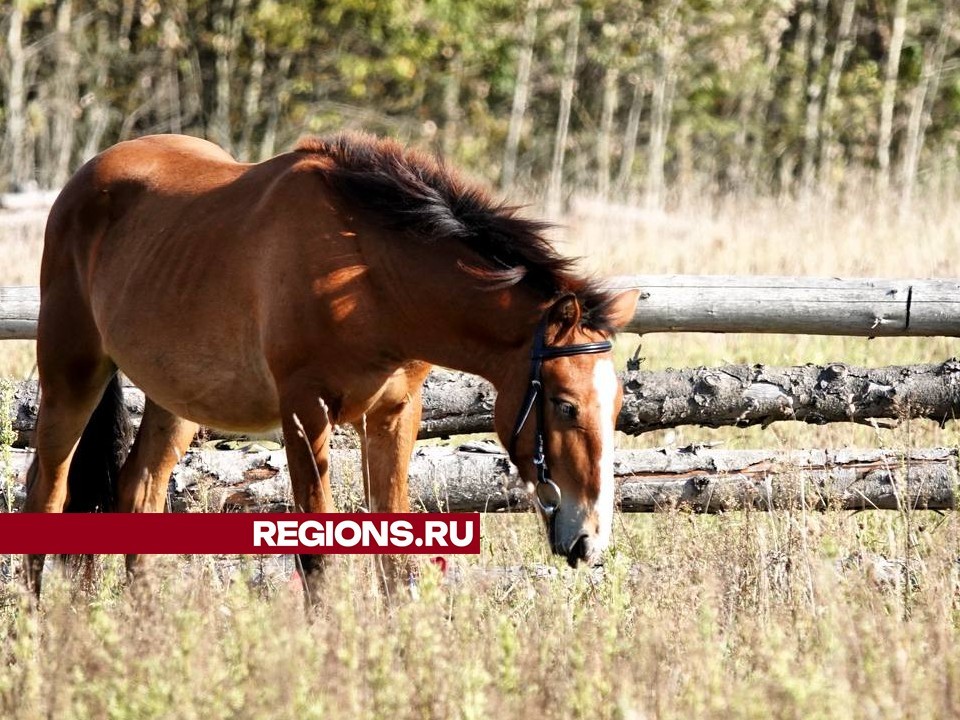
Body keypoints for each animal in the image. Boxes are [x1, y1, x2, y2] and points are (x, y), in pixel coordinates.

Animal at [22, 134, 636, 596]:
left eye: (615, 408)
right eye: (564, 405)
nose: (590, 540)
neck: (368, 273)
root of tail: (85, 178)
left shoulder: (393, 415)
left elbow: (396, 559)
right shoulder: (304, 412)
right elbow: (318, 558)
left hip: (175, 401)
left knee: (138, 493)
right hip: (72, 375)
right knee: (45, 490)